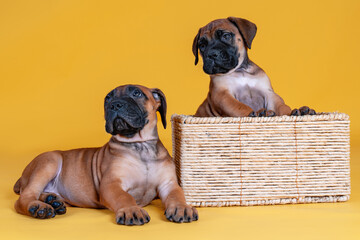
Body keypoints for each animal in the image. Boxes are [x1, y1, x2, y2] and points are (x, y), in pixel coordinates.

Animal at [14, 84, 198, 225]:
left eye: (137, 93)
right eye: (107, 99)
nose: (115, 105)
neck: (141, 145)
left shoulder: (169, 184)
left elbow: (177, 195)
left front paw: (182, 207)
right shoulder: (112, 184)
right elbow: (124, 197)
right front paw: (131, 210)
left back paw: (52, 200)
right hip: (49, 161)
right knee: (24, 197)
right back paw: (39, 207)